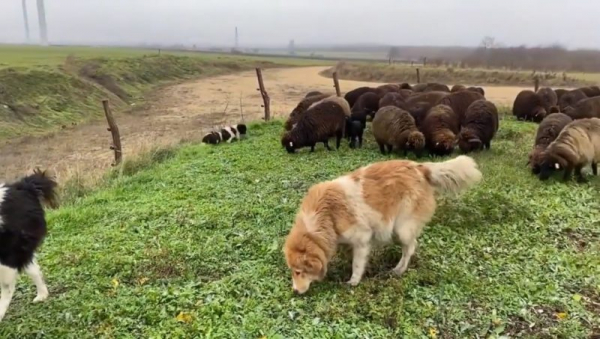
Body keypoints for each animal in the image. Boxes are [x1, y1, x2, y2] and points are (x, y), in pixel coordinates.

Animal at [282, 155, 482, 294]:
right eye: (293, 272)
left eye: (299, 272)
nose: (295, 291)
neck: (327, 213)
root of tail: (419, 167)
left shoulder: (362, 238)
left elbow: (357, 265)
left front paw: (353, 281)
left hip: (402, 229)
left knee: (410, 247)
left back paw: (399, 270)